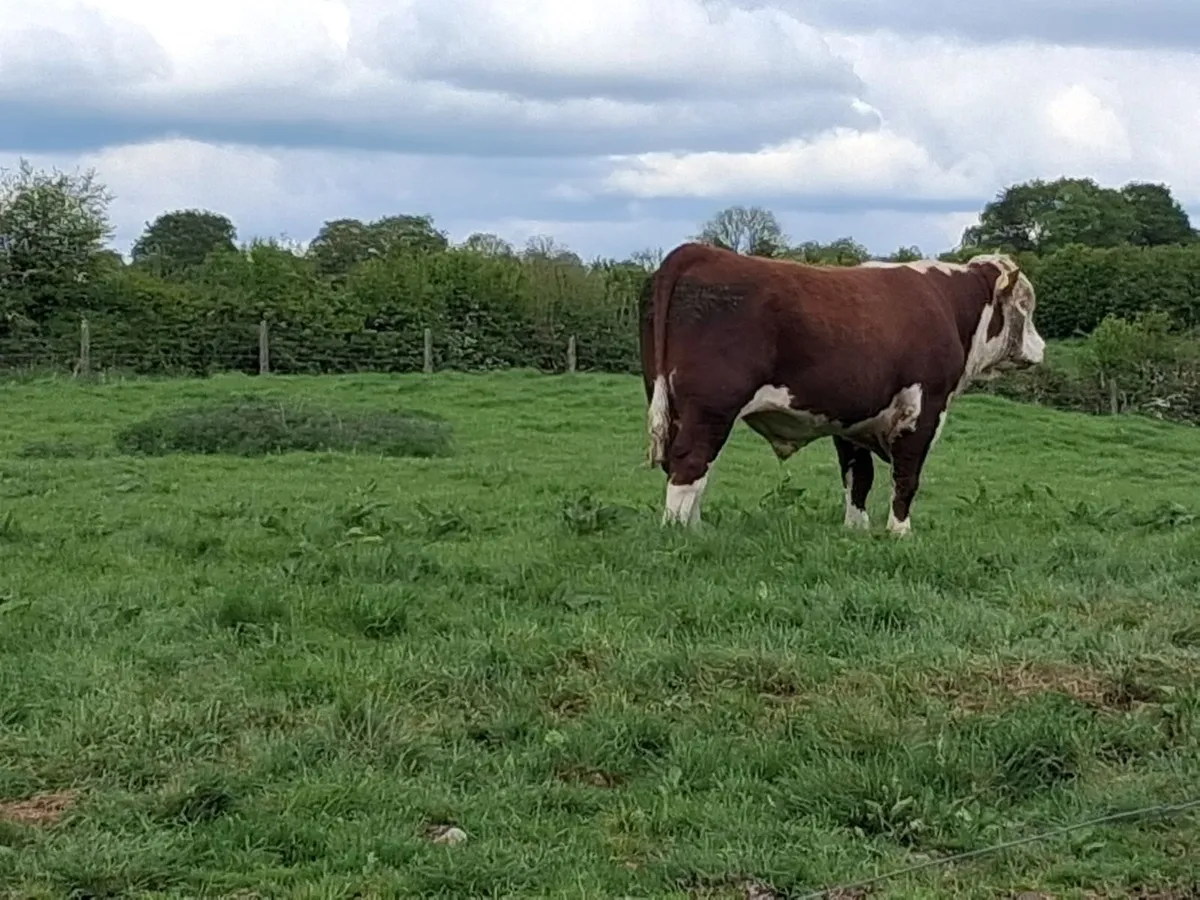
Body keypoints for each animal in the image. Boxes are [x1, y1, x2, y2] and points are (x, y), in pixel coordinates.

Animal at [638, 242, 1044, 534]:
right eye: (1026, 305)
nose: (1041, 348)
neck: (950, 305)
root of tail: (700, 250)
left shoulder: (852, 419)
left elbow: (858, 476)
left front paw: (856, 530)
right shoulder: (923, 410)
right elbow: (907, 476)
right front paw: (900, 532)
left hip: (670, 402)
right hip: (711, 408)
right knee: (690, 463)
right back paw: (682, 532)